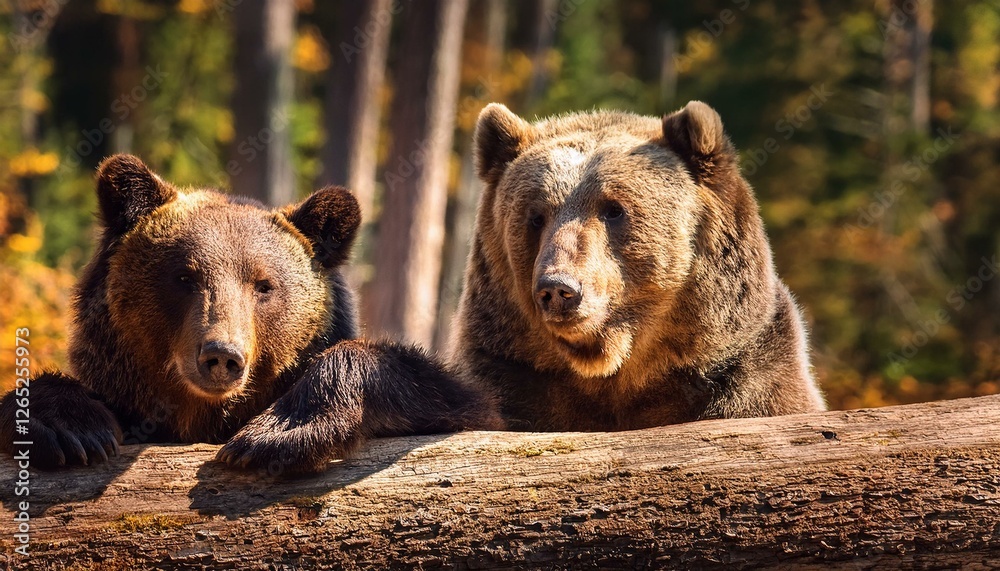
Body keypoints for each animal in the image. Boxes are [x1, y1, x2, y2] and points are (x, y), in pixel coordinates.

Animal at [1, 154, 502, 473]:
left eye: (263, 285)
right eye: (184, 276)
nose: (221, 355)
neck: (203, 417)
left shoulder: (461, 411)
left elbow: (461, 402)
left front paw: (274, 437)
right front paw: (74, 430)